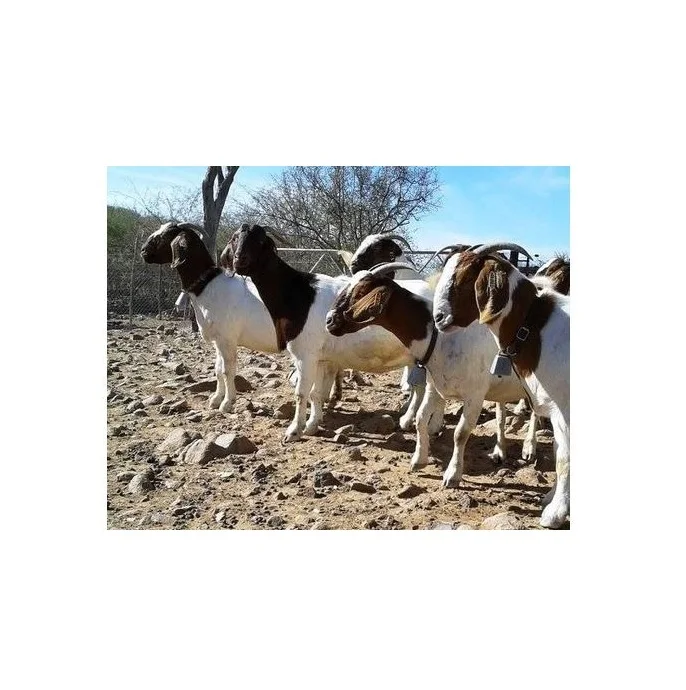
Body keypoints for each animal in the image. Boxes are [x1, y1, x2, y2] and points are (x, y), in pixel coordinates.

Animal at [229, 223, 435, 442]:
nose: (239, 260)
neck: (300, 294)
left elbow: (301, 393)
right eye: (234, 238)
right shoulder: (322, 359)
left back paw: (411, 421)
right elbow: (315, 394)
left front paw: (294, 431)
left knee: (422, 390)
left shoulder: (306, 355)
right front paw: (312, 425)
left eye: (260, 240)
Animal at [326, 262, 530, 485]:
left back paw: (530, 449)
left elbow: (460, 433)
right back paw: (500, 452)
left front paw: (452, 475)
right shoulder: (436, 388)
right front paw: (419, 460)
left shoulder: (475, 395)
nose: (329, 320)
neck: (440, 337)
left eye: (361, 292)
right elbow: (421, 419)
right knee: (502, 415)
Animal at [433, 242, 570, 529]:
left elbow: (564, 458)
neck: (535, 328)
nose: (438, 317)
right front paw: (551, 498)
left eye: (465, 279)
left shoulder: (564, 408)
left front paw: (555, 513)